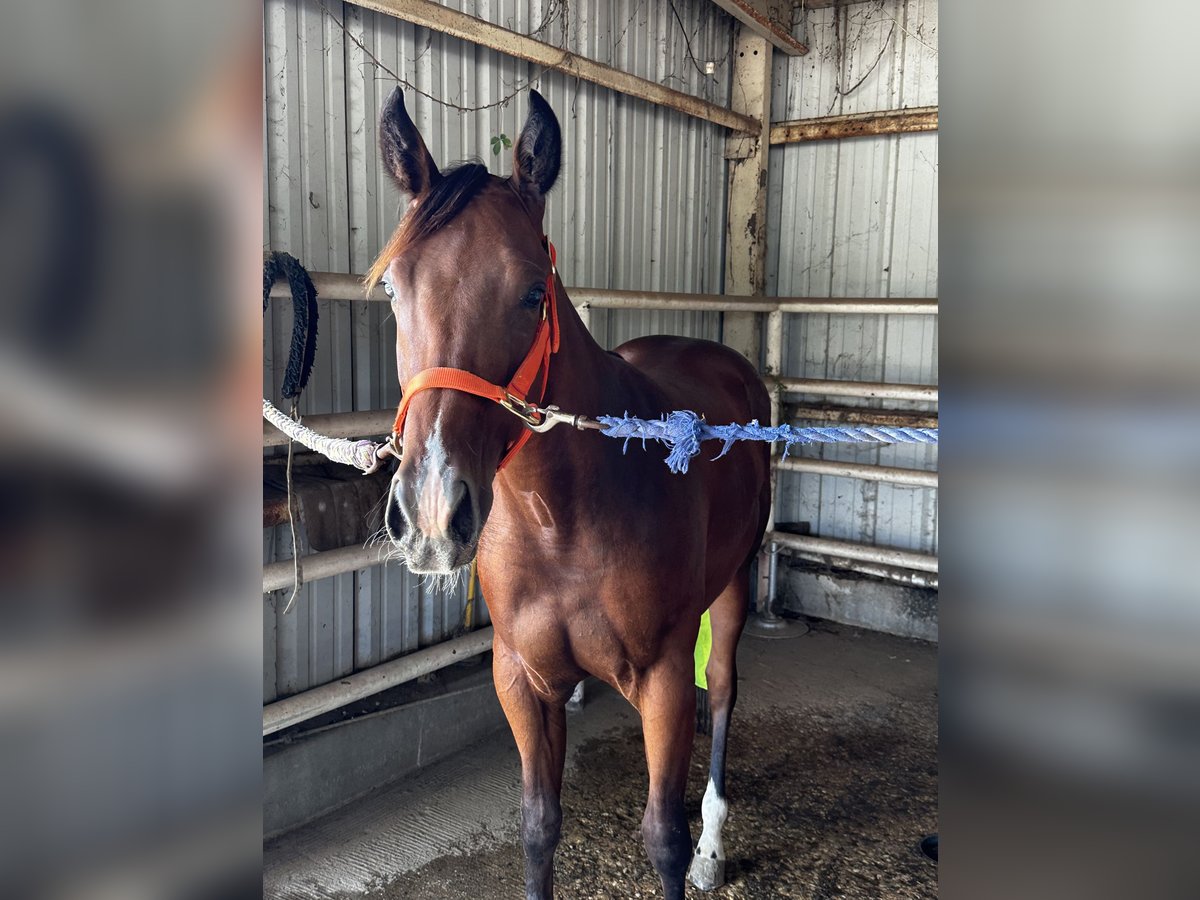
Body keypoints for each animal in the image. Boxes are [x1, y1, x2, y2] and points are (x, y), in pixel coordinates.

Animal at [369, 86, 772, 900]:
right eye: (394, 287)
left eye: (532, 292)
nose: (430, 513)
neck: (561, 521)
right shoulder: (521, 680)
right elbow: (539, 827)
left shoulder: (662, 680)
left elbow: (662, 838)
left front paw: (691, 848)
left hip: (735, 587)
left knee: (723, 690)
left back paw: (715, 845)